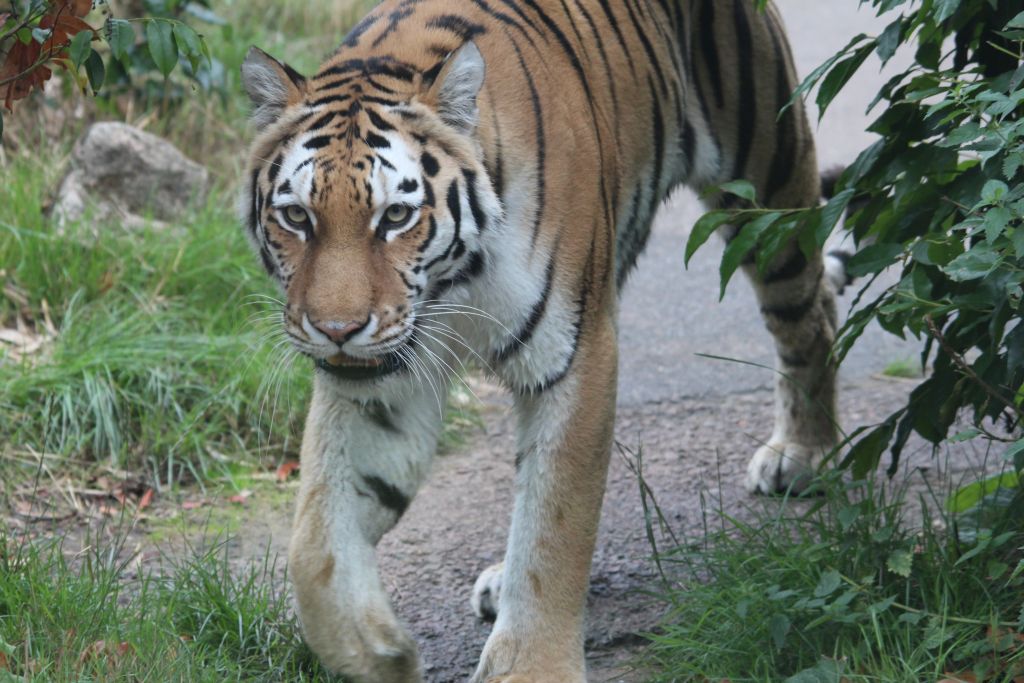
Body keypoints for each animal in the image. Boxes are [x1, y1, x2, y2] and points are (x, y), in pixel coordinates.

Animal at [238, 0, 846, 680]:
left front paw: (530, 666)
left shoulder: (575, 356)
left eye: (395, 217)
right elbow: (315, 543)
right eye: (297, 217)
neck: (453, 281)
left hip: (768, 190)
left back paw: (803, 453)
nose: (337, 331)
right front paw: (381, 654)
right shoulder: (380, 384)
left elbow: (554, 527)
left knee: (811, 310)